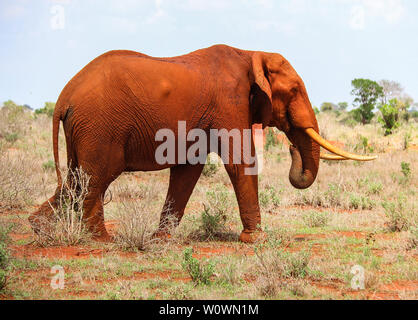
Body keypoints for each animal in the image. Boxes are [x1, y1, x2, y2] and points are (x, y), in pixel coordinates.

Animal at [27, 45, 378, 242]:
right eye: (294, 91)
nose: (291, 148)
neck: (251, 54)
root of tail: (65, 95)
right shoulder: (229, 101)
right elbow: (240, 162)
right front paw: (257, 240)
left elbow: (188, 170)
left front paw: (161, 239)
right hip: (100, 127)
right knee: (96, 176)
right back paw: (101, 240)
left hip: (84, 130)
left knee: (76, 178)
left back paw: (39, 229)